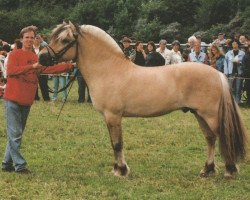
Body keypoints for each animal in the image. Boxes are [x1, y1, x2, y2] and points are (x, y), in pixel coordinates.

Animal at [39, 21, 248, 178]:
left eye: (65, 40)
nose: (41, 58)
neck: (108, 69)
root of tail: (217, 74)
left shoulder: (113, 116)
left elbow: (117, 144)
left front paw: (121, 171)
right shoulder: (109, 117)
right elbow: (114, 143)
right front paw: (117, 169)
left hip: (210, 115)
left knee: (223, 137)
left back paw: (230, 170)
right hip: (199, 115)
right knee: (210, 138)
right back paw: (207, 170)